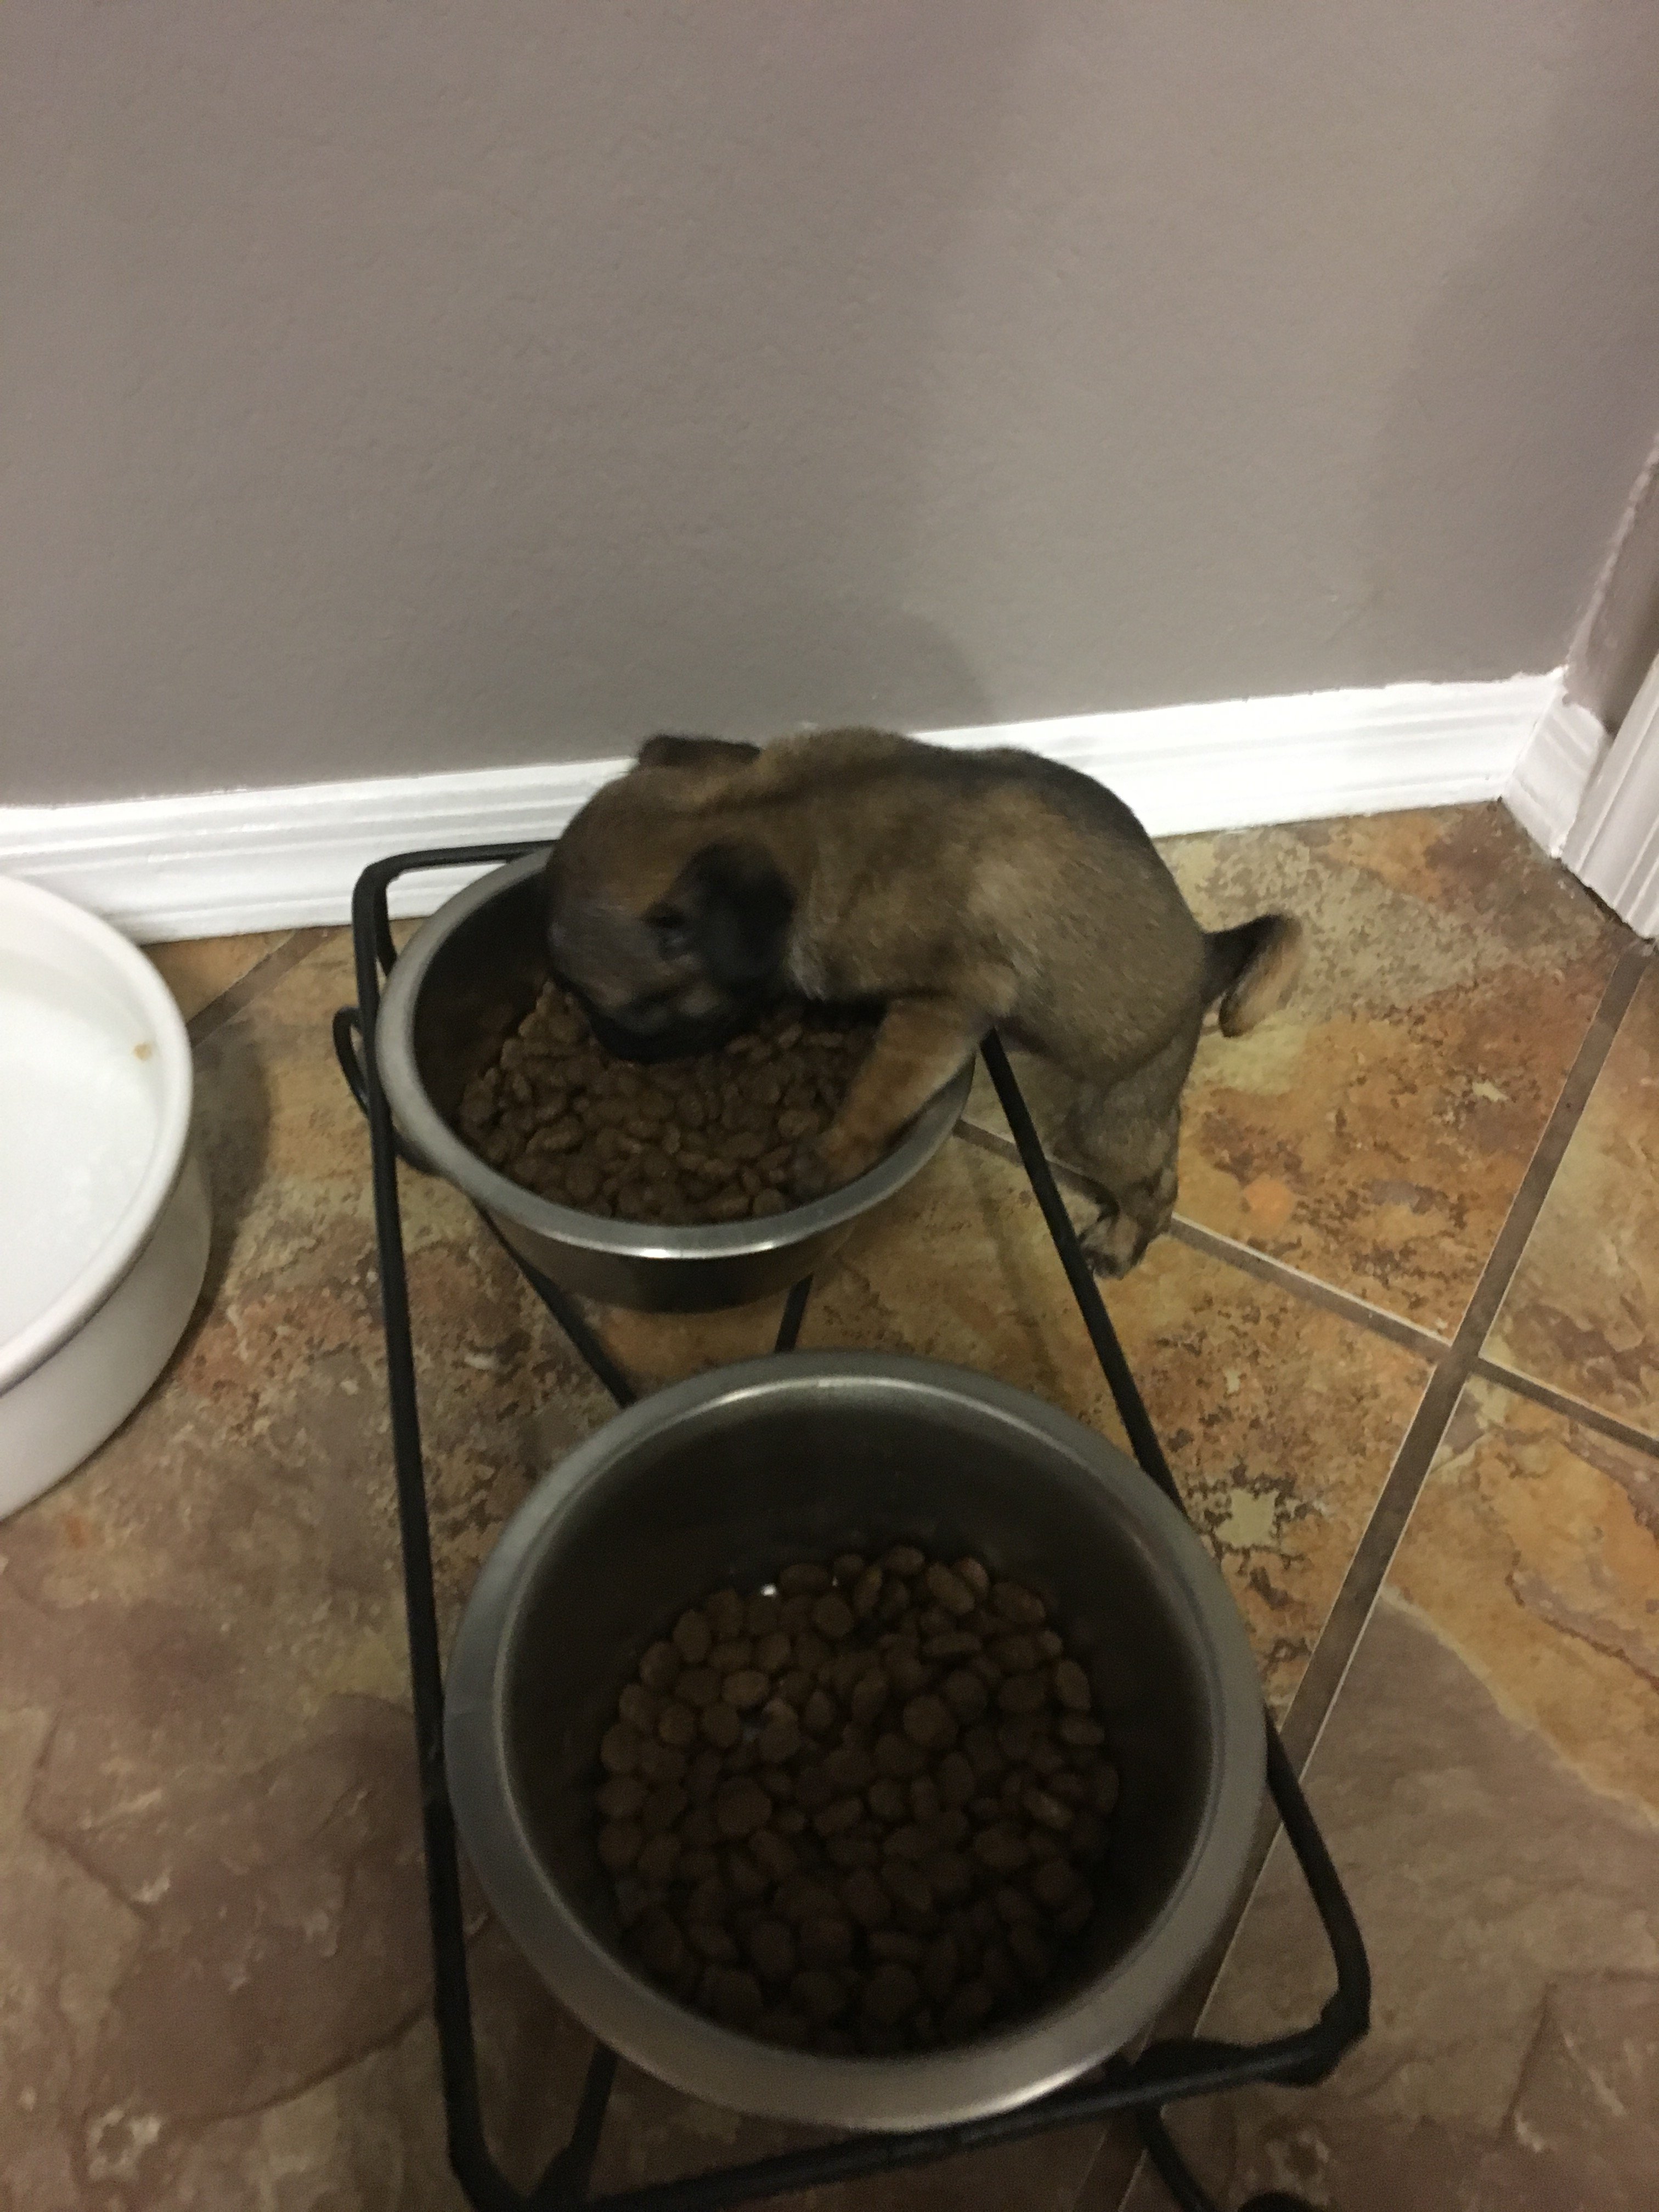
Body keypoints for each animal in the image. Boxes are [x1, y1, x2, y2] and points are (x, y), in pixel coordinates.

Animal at [544, 729, 1301, 1274]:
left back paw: (1119, 1243)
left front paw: (836, 1153)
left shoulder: (941, 1009)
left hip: (1107, 1119)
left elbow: (880, 1088)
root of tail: (1208, 952)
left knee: (1157, 1190)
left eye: (630, 1013)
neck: (777, 815)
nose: (605, 1042)